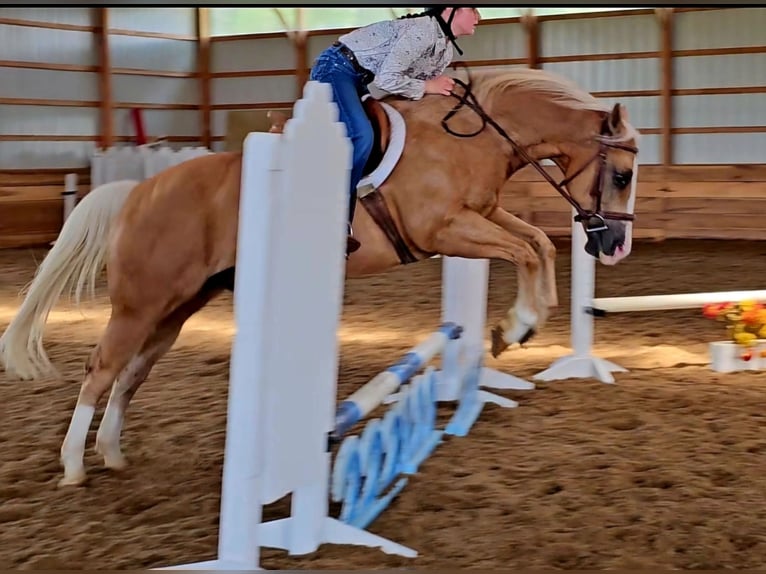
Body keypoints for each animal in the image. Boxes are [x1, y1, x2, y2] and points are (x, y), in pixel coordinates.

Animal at [0, 68, 640, 490]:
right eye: (623, 175)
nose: (613, 245)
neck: (470, 138)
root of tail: (137, 192)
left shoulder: (480, 216)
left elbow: (536, 245)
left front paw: (515, 331)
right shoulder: (446, 229)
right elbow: (526, 250)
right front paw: (519, 325)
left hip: (179, 306)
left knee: (131, 374)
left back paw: (112, 455)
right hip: (141, 304)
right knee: (101, 368)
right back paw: (74, 467)